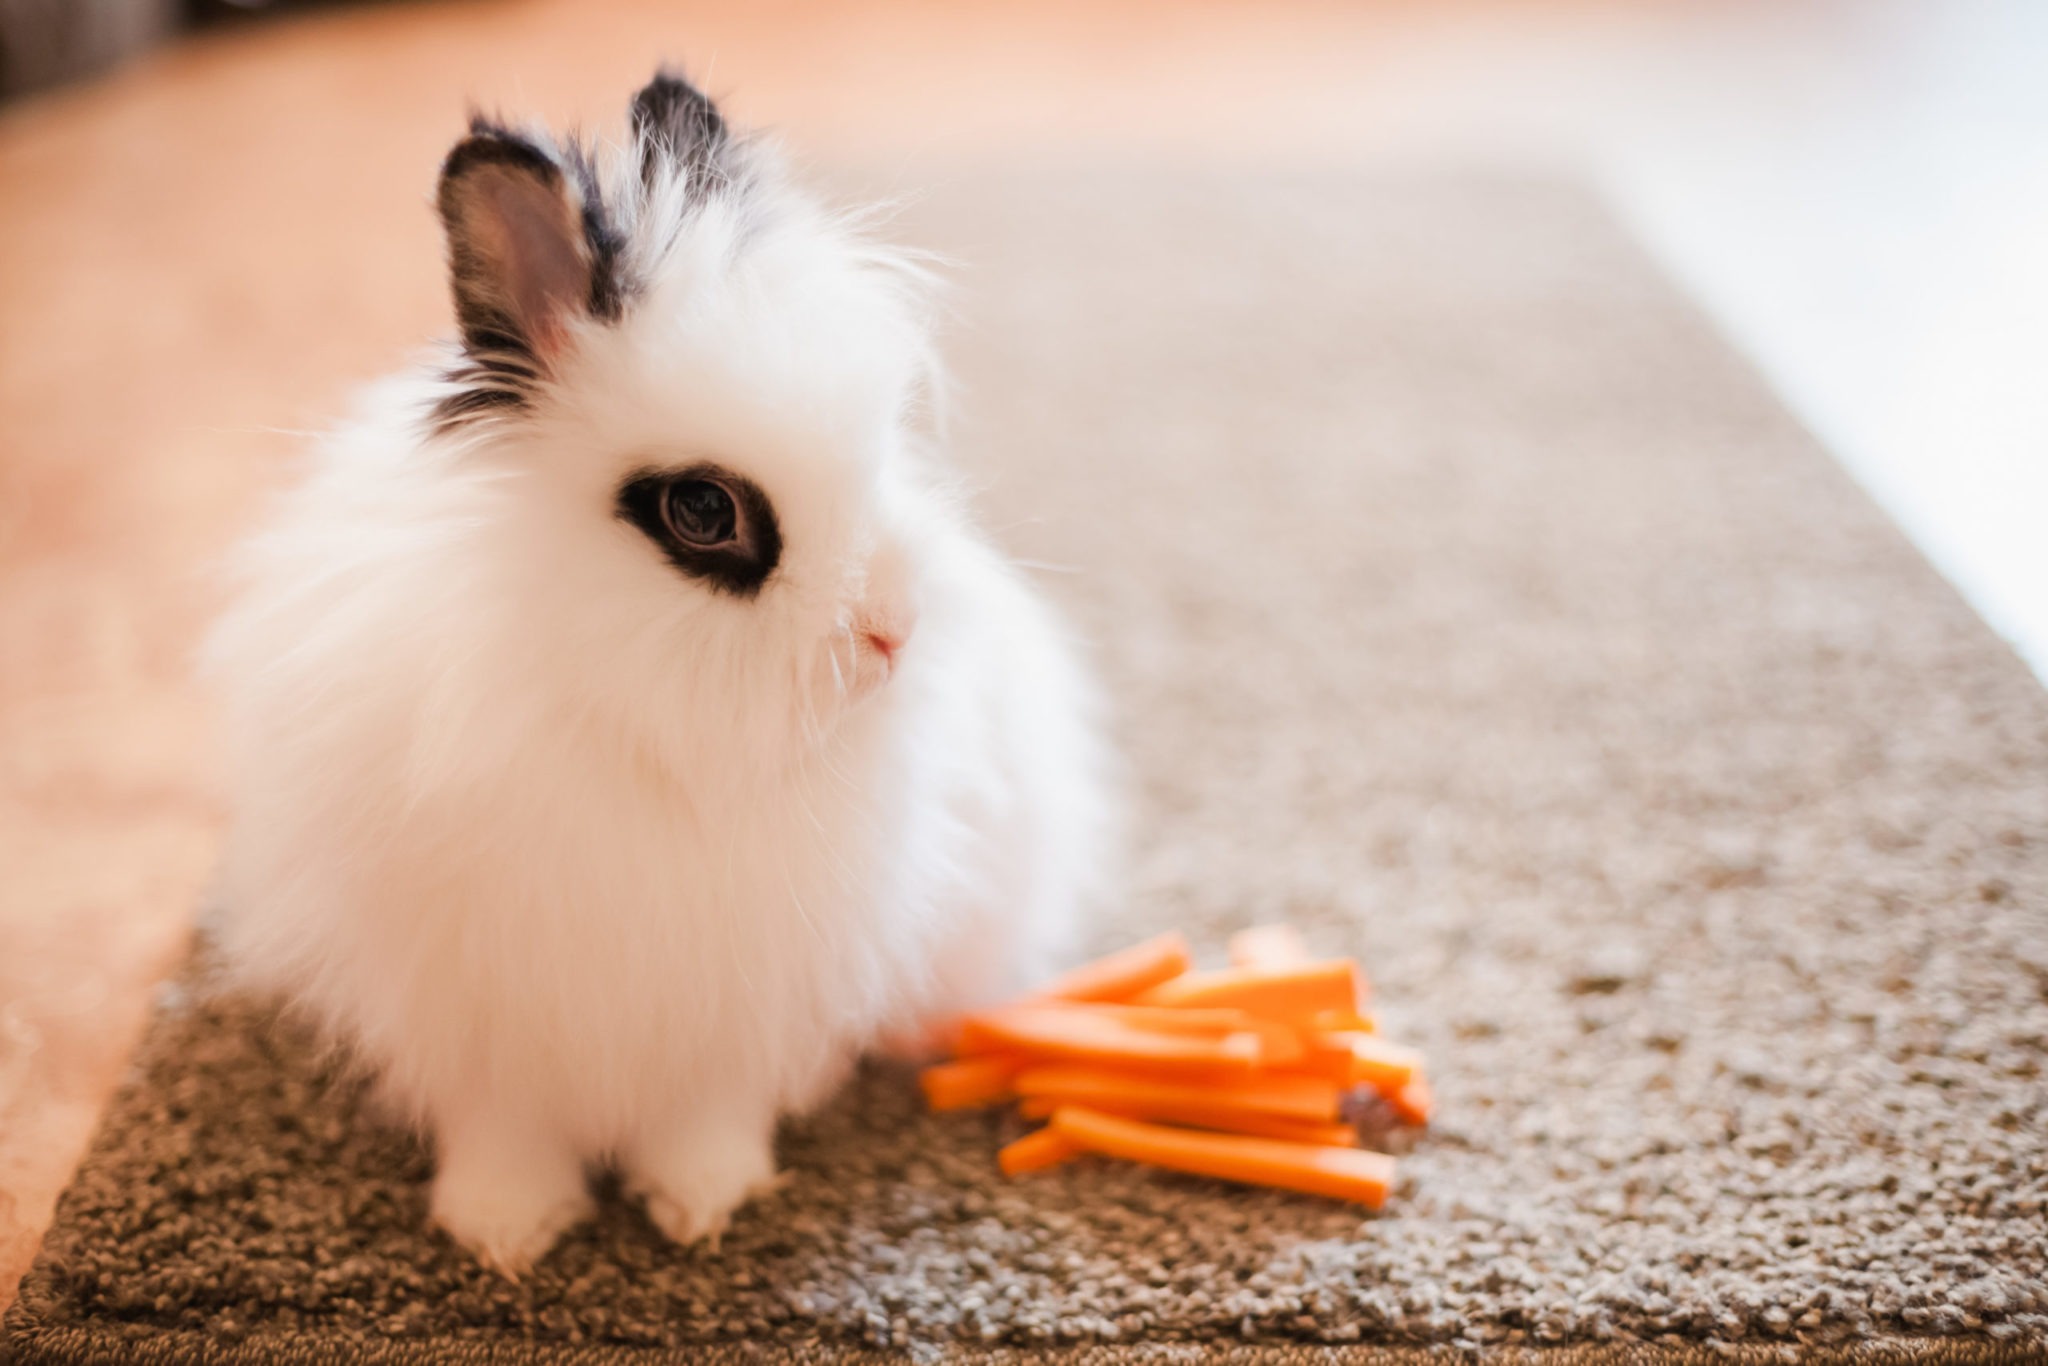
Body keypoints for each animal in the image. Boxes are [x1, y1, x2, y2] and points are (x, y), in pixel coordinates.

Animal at [199, 72, 1114, 1269]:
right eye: (702, 512)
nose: (893, 633)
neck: (651, 725)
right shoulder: (481, 1009)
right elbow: (503, 1126)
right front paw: (502, 1231)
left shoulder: (737, 1001)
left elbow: (705, 1115)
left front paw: (702, 1205)